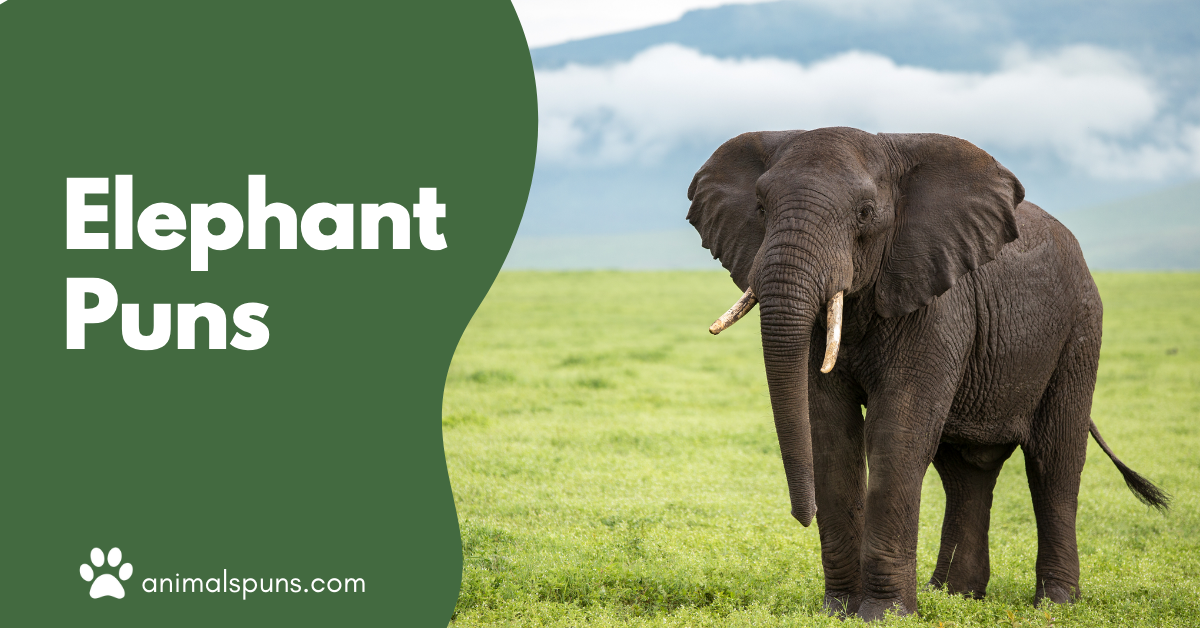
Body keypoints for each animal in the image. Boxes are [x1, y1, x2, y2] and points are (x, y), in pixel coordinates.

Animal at [687, 127, 1169, 621]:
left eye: (865, 214)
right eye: (761, 208)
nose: (801, 516)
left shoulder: (937, 304)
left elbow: (896, 435)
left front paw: (883, 616)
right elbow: (830, 432)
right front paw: (838, 612)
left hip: (1079, 329)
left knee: (1054, 461)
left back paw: (1054, 606)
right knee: (966, 470)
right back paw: (955, 597)